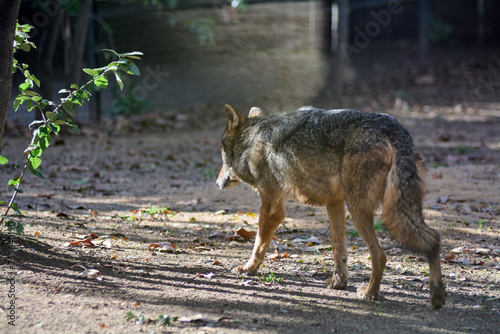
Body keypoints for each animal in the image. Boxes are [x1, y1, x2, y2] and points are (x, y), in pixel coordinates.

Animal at [217, 103, 448, 310]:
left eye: (221, 154)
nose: (217, 183)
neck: (251, 140)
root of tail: (392, 127)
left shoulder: (272, 208)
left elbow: (258, 245)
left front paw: (248, 269)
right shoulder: (334, 202)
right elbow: (339, 248)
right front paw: (338, 283)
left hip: (360, 210)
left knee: (380, 255)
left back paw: (370, 294)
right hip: (394, 208)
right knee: (433, 238)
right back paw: (437, 294)